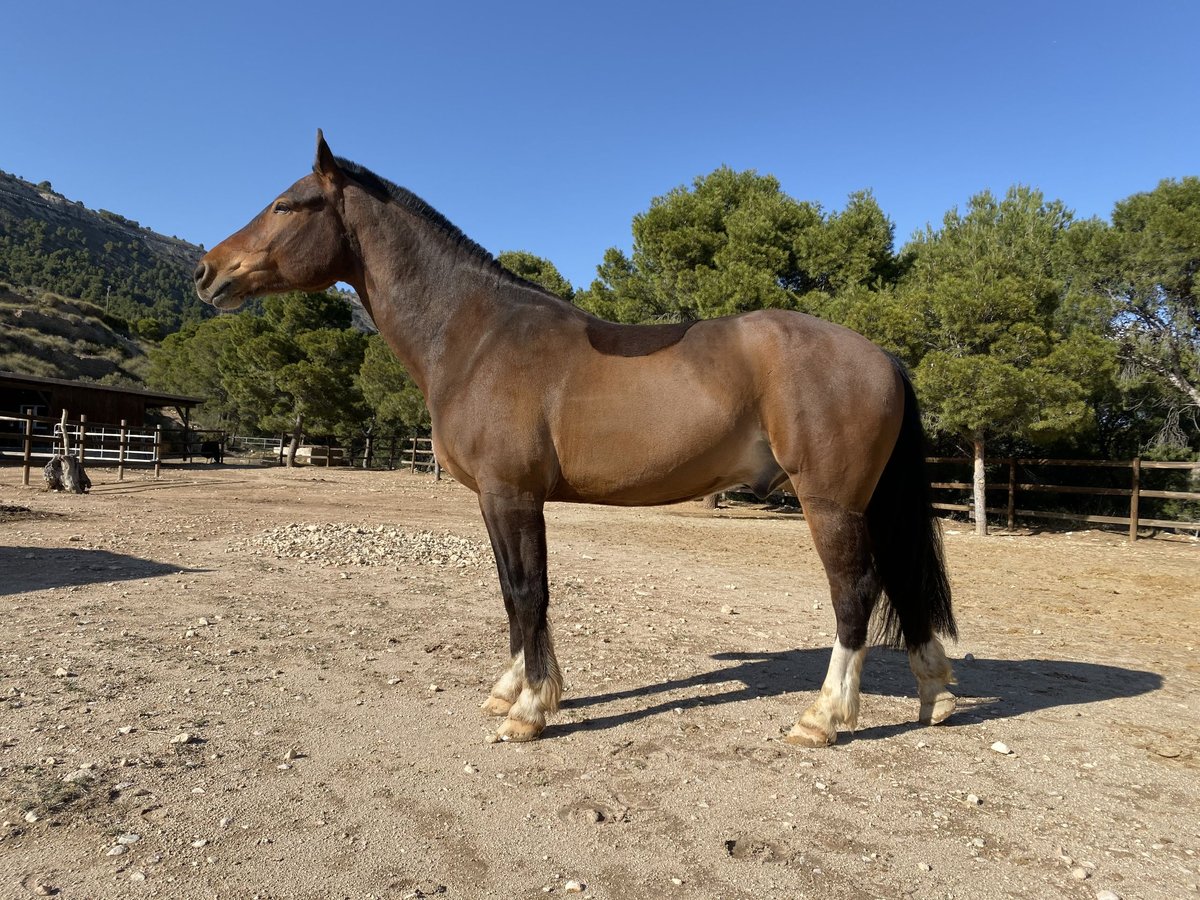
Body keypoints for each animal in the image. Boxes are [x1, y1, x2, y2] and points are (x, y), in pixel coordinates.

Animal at [194, 128, 955, 748]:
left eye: (287, 205)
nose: (207, 271)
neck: (476, 333)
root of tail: (882, 356)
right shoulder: (495, 500)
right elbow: (511, 593)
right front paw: (510, 690)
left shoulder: (512, 495)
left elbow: (529, 591)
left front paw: (530, 711)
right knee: (902, 583)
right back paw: (935, 697)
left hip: (829, 504)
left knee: (855, 592)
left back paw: (822, 718)